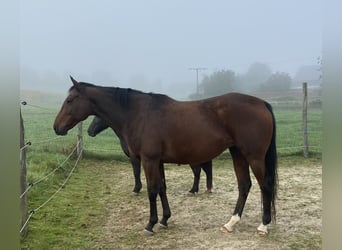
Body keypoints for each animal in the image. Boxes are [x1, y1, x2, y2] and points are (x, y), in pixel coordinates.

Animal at [53, 75, 278, 234]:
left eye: (70, 100)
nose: (57, 127)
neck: (139, 114)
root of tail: (262, 103)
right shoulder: (158, 161)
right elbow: (162, 188)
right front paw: (164, 220)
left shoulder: (149, 160)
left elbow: (152, 190)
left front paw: (150, 225)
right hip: (237, 153)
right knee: (244, 185)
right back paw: (231, 223)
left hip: (253, 156)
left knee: (265, 185)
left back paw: (263, 225)